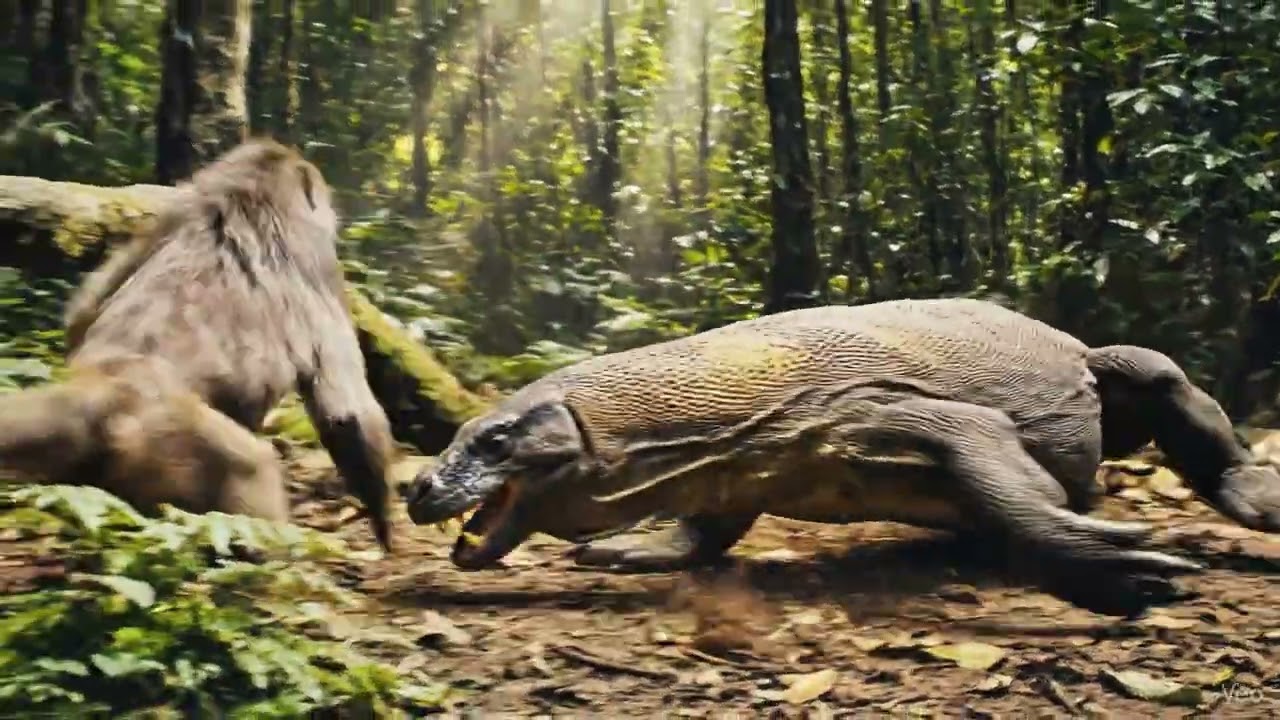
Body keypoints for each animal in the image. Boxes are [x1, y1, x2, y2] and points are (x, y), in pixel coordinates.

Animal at [0, 138, 399, 551]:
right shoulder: (316, 258)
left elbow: (84, 307)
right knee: (254, 467)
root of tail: (108, 387)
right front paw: (384, 522)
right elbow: (347, 411)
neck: (250, 192)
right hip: (169, 440)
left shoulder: (174, 210)